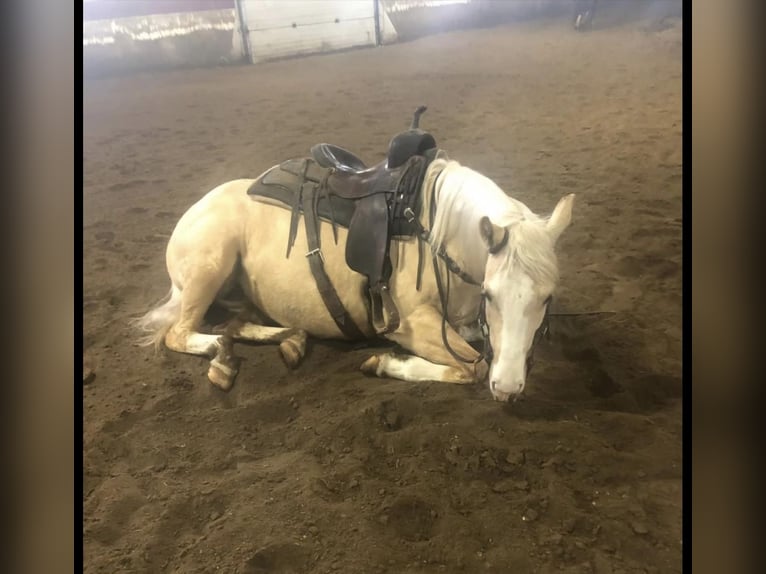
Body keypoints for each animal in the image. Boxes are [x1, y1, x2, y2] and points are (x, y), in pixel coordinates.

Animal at [134, 153, 576, 404]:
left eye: (546, 298)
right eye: (490, 294)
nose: (509, 388)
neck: (442, 236)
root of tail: (196, 208)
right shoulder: (412, 325)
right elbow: (473, 366)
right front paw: (386, 364)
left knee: (236, 323)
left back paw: (291, 341)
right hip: (209, 268)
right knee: (180, 332)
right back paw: (222, 360)